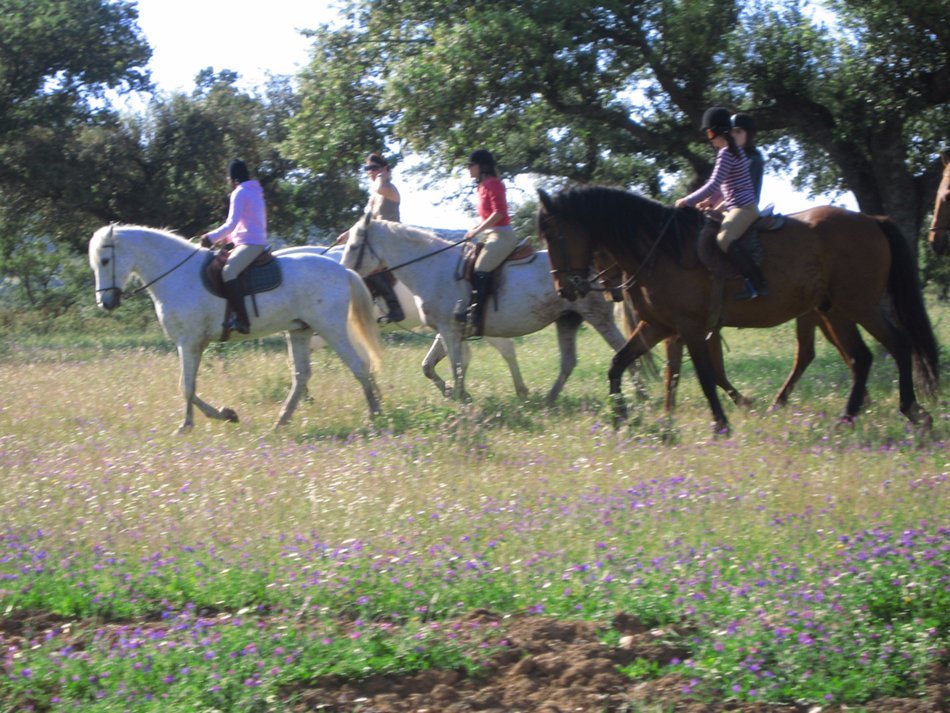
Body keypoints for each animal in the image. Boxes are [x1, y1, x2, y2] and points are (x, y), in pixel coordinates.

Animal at [89, 225, 384, 432]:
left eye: (105, 261)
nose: (106, 303)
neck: (177, 275)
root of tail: (342, 270)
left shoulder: (188, 341)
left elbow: (186, 386)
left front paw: (188, 425)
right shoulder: (194, 343)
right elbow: (189, 386)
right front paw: (225, 415)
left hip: (331, 328)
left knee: (359, 366)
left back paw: (374, 417)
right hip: (299, 331)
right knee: (301, 376)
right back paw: (281, 422)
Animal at [338, 217, 644, 400]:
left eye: (353, 246)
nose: (343, 272)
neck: (432, 267)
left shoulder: (450, 330)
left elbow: (456, 367)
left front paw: (461, 400)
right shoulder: (447, 331)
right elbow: (429, 366)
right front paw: (455, 394)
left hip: (597, 318)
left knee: (623, 351)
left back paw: (639, 395)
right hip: (567, 319)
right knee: (568, 362)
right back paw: (548, 400)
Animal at [540, 184, 940, 434]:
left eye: (555, 234)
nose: (565, 288)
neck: (661, 250)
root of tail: (872, 220)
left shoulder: (691, 328)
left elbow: (704, 375)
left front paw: (721, 424)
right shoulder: (658, 327)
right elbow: (619, 364)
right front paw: (621, 417)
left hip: (858, 306)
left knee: (898, 345)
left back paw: (910, 410)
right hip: (834, 311)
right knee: (860, 358)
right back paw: (850, 417)